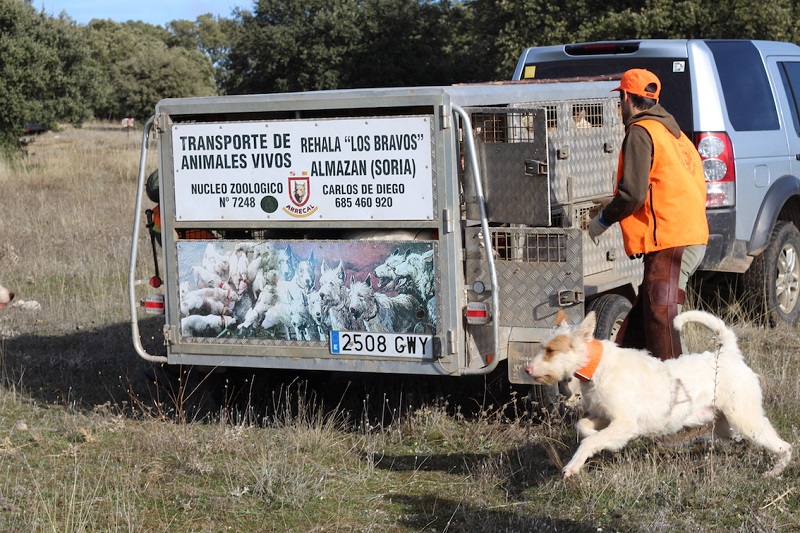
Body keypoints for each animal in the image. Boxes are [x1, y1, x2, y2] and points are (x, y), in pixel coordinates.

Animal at [524, 308, 792, 478]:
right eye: (542, 347)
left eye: (550, 350)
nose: (527, 369)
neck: (599, 366)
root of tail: (728, 353)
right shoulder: (603, 416)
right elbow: (584, 429)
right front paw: (607, 445)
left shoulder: (625, 424)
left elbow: (590, 442)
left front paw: (574, 465)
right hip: (725, 424)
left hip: (746, 420)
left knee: (784, 446)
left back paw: (775, 472)